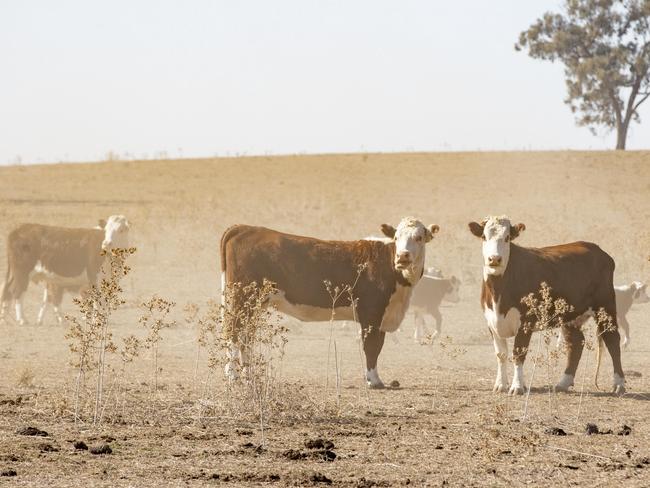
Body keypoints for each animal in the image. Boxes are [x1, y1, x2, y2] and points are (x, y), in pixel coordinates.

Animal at [0, 215, 132, 326]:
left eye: (121, 230)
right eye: (106, 230)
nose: (106, 244)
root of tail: (19, 229)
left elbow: (104, 301)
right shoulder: (94, 277)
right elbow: (97, 301)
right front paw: (96, 320)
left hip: (17, 273)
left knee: (8, 290)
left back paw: (5, 317)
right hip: (22, 272)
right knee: (16, 291)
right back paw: (22, 319)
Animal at [220, 217, 438, 388]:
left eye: (419, 237)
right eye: (396, 237)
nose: (402, 256)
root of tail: (244, 227)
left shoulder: (383, 316)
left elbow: (378, 346)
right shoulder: (371, 313)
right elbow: (371, 346)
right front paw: (373, 380)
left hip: (253, 304)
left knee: (246, 337)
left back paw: (248, 376)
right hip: (241, 300)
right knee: (234, 333)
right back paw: (233, 376)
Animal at [466, 216, 624, 396]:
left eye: (507, 238)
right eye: (484, 237)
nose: (494, 259)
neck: (498, 292)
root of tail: (598, 250)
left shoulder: (526, 322)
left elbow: (518, 353)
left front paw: (517, 386)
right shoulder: (491, 321)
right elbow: (501, 354)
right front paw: (500, 385)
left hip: (605, 306)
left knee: (612, 340)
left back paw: (619, 384)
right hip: (570, 315)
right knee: (576, 343)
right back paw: (563, 383)